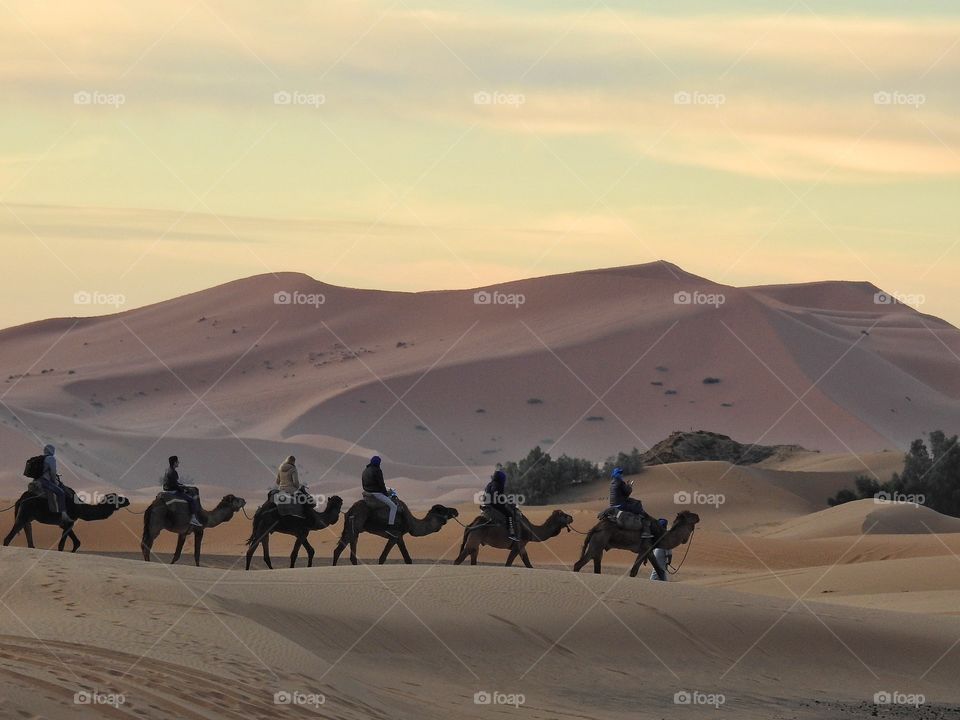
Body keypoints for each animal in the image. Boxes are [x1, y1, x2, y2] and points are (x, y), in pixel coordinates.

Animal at [1, 490, 129, 552]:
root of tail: (20, 499)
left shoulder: (67, 523)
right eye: (116, 498)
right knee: (12, 534)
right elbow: (62, 545)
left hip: (28, 516)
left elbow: (76, 542)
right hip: (24, 513)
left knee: (28, 530)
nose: (127, 499)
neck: (80, 508)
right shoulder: (68, 522)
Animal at [568, 510, 696, 576]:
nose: (698, 516)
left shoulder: (647, 551)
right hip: (597, 542)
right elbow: (636, 571)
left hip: (599, 545)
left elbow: (658, 571)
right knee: (579, 564)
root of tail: (595, 528)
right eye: (690, 516)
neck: (660, 535)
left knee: (597, 567)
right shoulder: (645, 549)